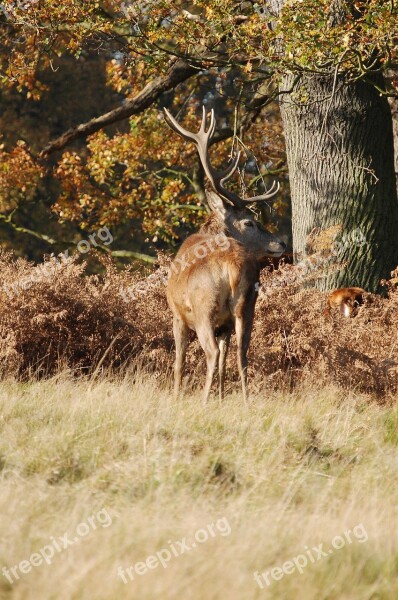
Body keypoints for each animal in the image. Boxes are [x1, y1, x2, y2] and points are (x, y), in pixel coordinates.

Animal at [164, 108, 286, 406]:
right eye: (249, 222)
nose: (281, 242)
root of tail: (233, 266)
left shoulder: (177, 315)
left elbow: (179, 362)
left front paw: (176, 397)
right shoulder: (226, 325)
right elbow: (226, 360)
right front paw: (221, 397)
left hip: (203, 309)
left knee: (211, 354)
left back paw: (203, 402)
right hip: (247, 307)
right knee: (242, 355)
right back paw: (245, 401)